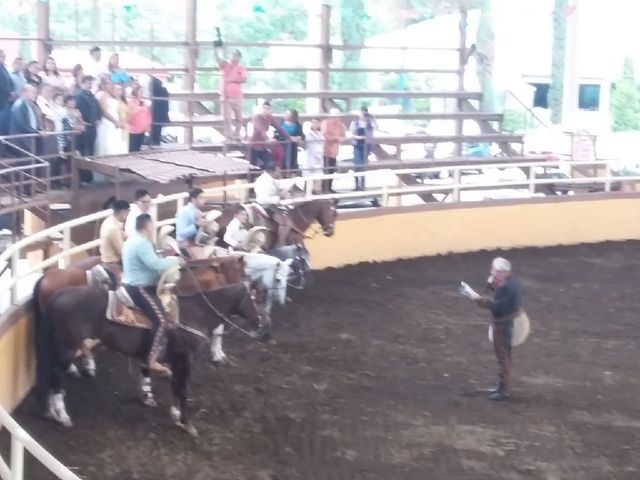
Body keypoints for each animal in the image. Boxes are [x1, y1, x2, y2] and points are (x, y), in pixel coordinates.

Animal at [32, 282, 268, 436]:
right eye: (257, 300)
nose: (265, 329)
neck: (196, 314)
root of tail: (57, 295)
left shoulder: (176, 361)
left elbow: (176, 387)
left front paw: (175, 415)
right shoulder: (186, 359)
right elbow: (183, 388)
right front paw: (186, 423)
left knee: (51, 375)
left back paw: (51, 412)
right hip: (66, 348)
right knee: (56, 376)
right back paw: (62, 416)